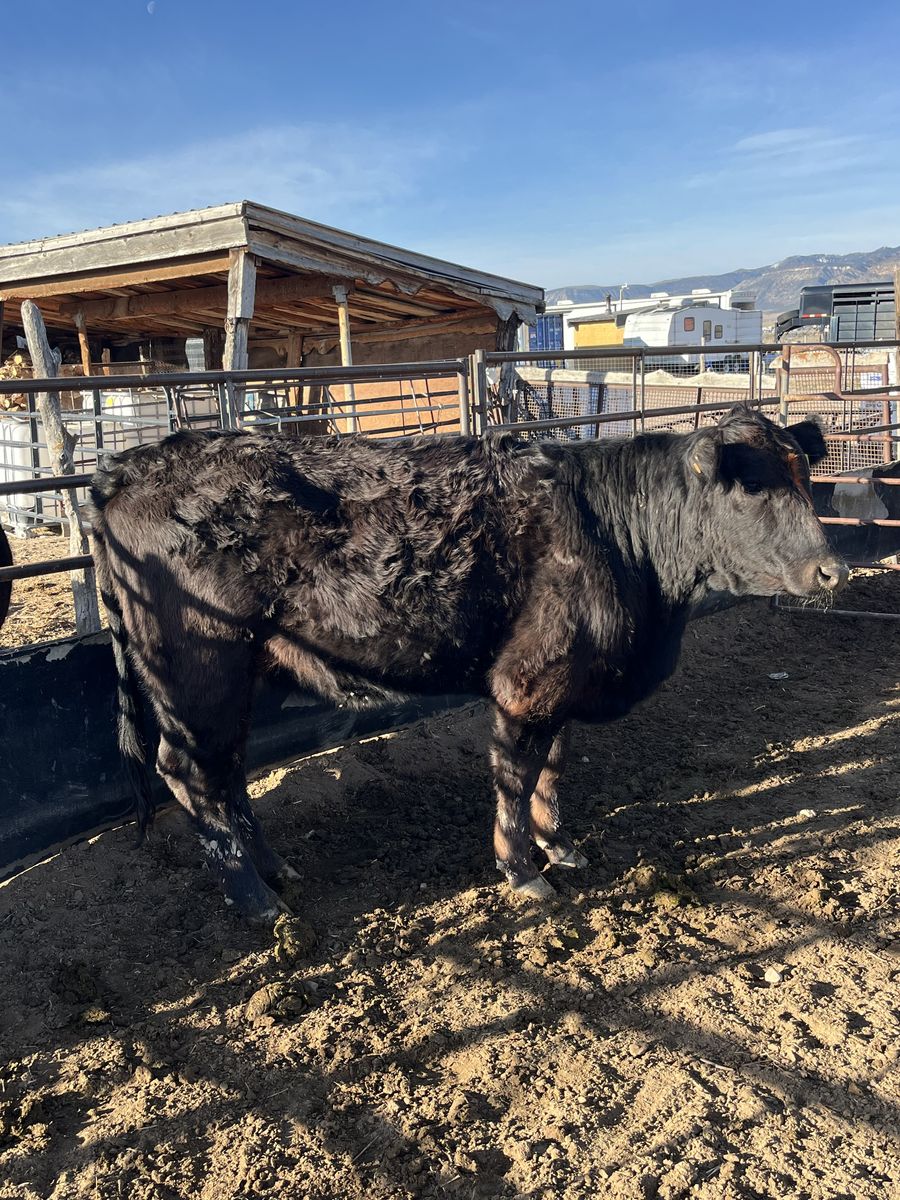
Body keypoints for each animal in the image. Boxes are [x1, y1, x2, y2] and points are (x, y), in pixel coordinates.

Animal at [89, 405, 847, 921]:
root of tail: (131, 465)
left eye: (805, 476)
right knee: (188, 771)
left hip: (244, 672)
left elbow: (552, 771)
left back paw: (278, 872)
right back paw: (254, 898)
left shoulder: (563, 684)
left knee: (227, 771)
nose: (833, 570)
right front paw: (523, 872)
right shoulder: (526, 684)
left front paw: (560, 846)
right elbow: (514, 779)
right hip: (196, 669)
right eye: (752, 488)